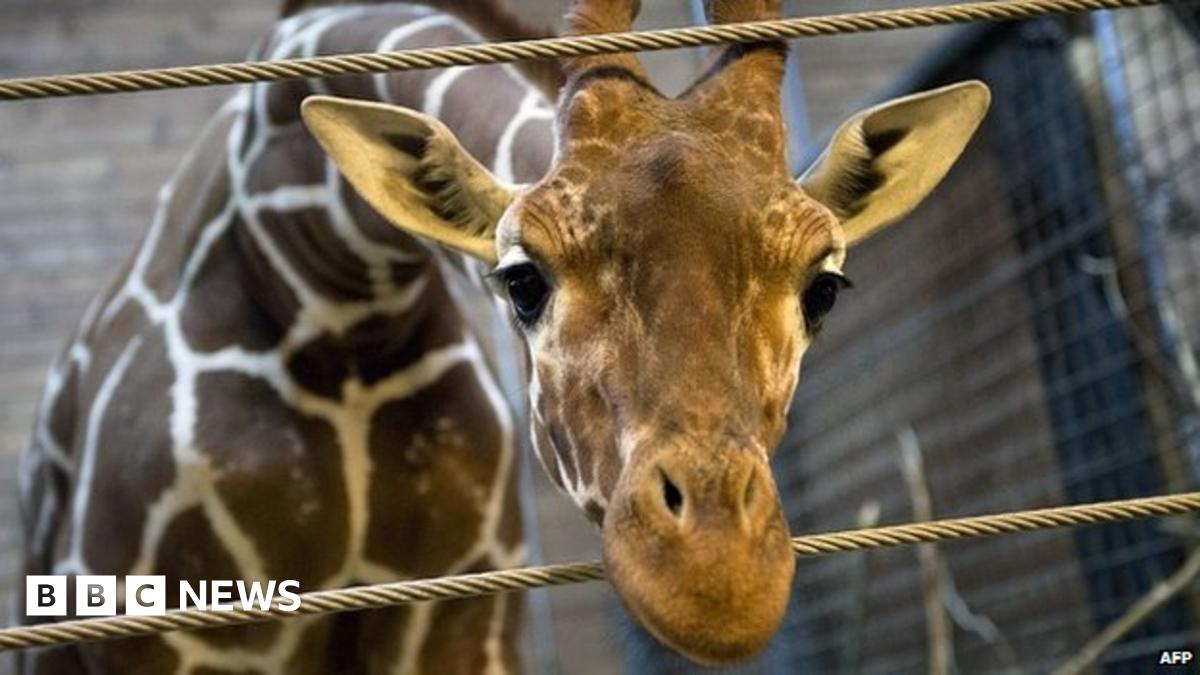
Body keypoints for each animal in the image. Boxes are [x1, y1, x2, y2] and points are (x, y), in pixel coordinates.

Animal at [18, 0, 991, 672]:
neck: (333, 298)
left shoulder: (458, 620)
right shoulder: (172, 632)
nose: (717, 580)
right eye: (522, 279)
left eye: (823, 287)